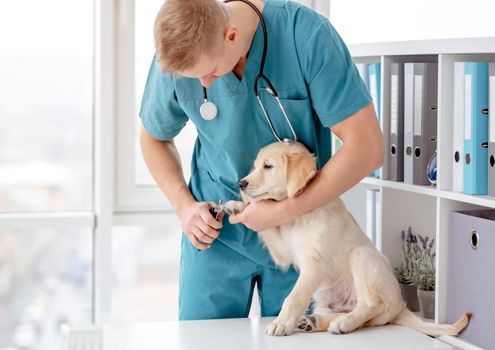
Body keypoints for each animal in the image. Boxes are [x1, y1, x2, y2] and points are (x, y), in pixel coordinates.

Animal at [223, 140, 470, 336]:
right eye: (256, 166)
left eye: (268, 166)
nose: (241, 184)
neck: (300, 216)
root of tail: (401, 306)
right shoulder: (283, 251)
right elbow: (266, 227)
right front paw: (236, 207)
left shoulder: (314, 264)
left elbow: (293, 298)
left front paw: (281, 324)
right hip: (324, 300)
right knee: (354, 315)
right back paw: (314, 321)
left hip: (362, 256)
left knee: (371, 304)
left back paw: (343, 323)